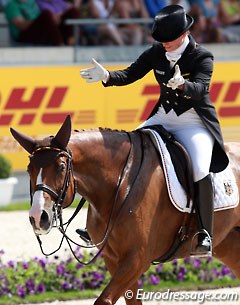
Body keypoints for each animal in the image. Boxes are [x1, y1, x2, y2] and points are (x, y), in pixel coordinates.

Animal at [10, 114, 240, 304]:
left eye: (60, 167)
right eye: (30, 169)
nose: (38, 217)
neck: (120, 183)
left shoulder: (137, 258)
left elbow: (103, 300)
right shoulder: (114, 259)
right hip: (227, 244)